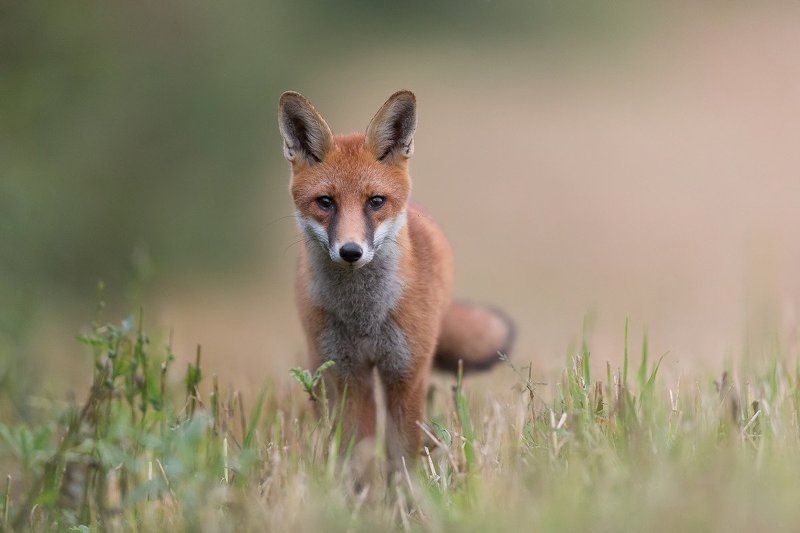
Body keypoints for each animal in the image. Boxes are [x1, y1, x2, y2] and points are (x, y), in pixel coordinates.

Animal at [278, 90, 515, 460]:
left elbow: (403, 454)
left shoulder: (405, 372)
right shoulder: (349, 375)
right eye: (325, 202)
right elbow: (359, 453)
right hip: (321, 368)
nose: (351, 251)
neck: (365, 317)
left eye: (375, 201)